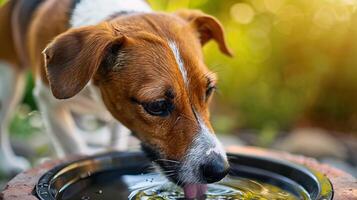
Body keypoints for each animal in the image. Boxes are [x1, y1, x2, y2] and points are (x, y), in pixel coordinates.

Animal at [0, 0, 232, 195]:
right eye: (157, 105)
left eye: (209, 90)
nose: (219, 170)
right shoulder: (48, 102)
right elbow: (73, 145)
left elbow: (114, 146)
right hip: (9, 84)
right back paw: (9, 162)